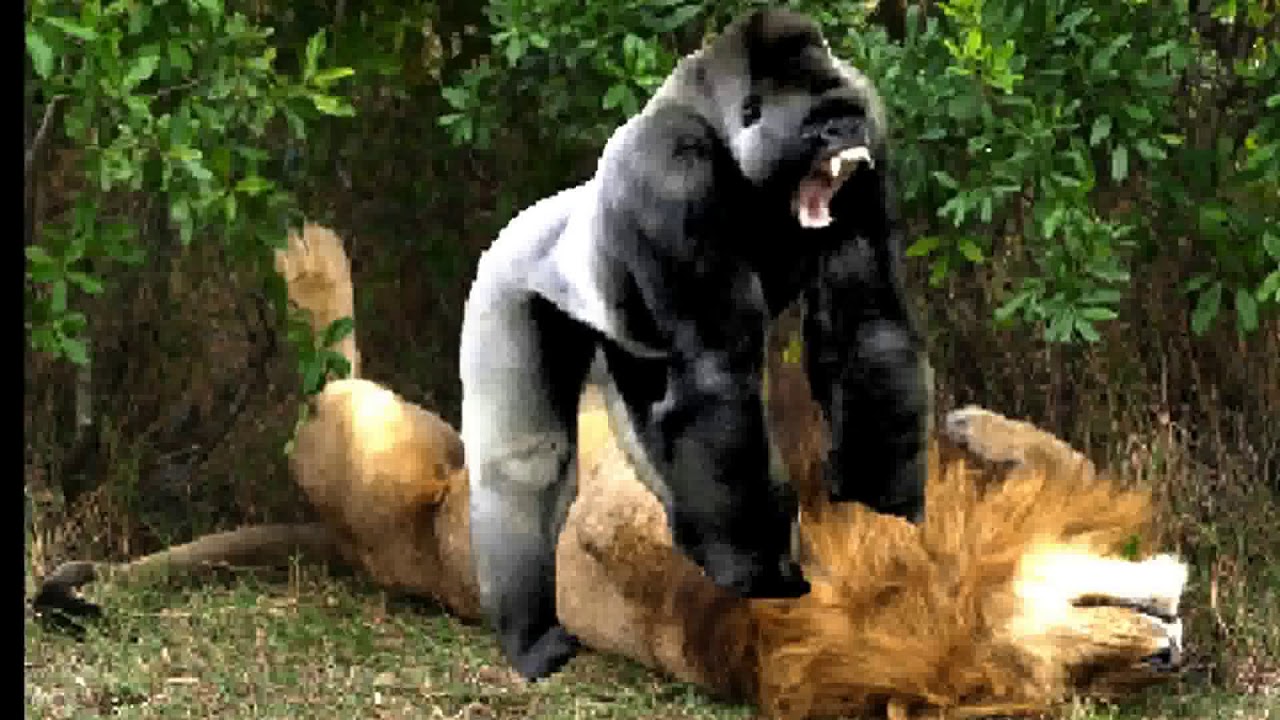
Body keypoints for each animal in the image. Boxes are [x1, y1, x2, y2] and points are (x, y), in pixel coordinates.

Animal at [32, 224, 1187, 719]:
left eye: (1098, 680)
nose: (1171, 656)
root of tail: (371, 554)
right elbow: (1047, 455)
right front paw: (980, 429)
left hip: (390, 449)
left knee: (322, 399)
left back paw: (306, 253)